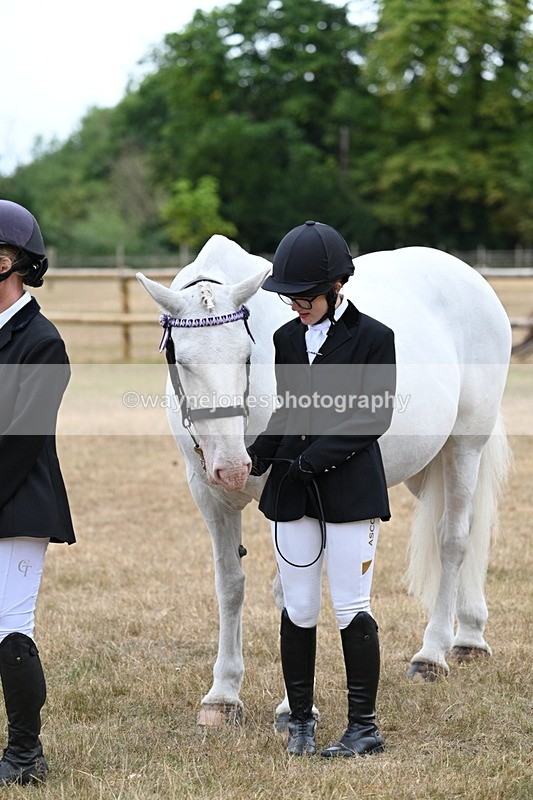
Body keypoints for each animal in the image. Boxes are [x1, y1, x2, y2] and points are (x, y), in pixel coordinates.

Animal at [137, 236, 512, 727]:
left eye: (246, 356)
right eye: (180, 359)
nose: (234, 467)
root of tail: (470, 277)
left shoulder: (283, 496)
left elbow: (289, 591)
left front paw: (291, 706)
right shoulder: (210, 497)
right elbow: (230, 586)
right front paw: (223, 696)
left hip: (465, 447)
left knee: (454, 540)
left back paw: (433, 655)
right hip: (426, 466)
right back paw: (468, 636)